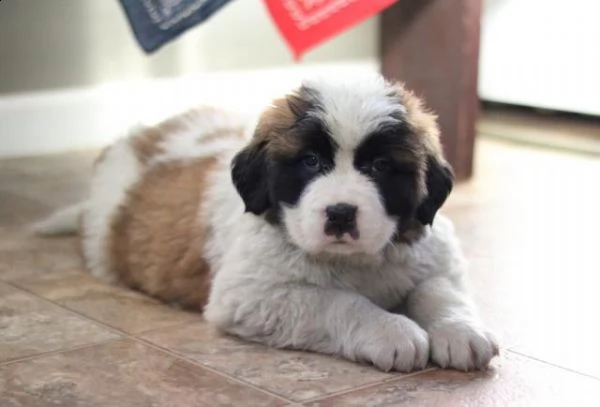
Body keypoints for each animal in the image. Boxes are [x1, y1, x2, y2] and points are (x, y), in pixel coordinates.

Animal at [35, 74, 500, 372]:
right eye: (310, 162)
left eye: (381, 166)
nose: (340, 212)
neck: (359, 261)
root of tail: (137, 140)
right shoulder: (251, 294)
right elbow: (337, 301)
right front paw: (391, 331)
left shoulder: (433, 255)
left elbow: (439, 291)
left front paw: (462, 331)